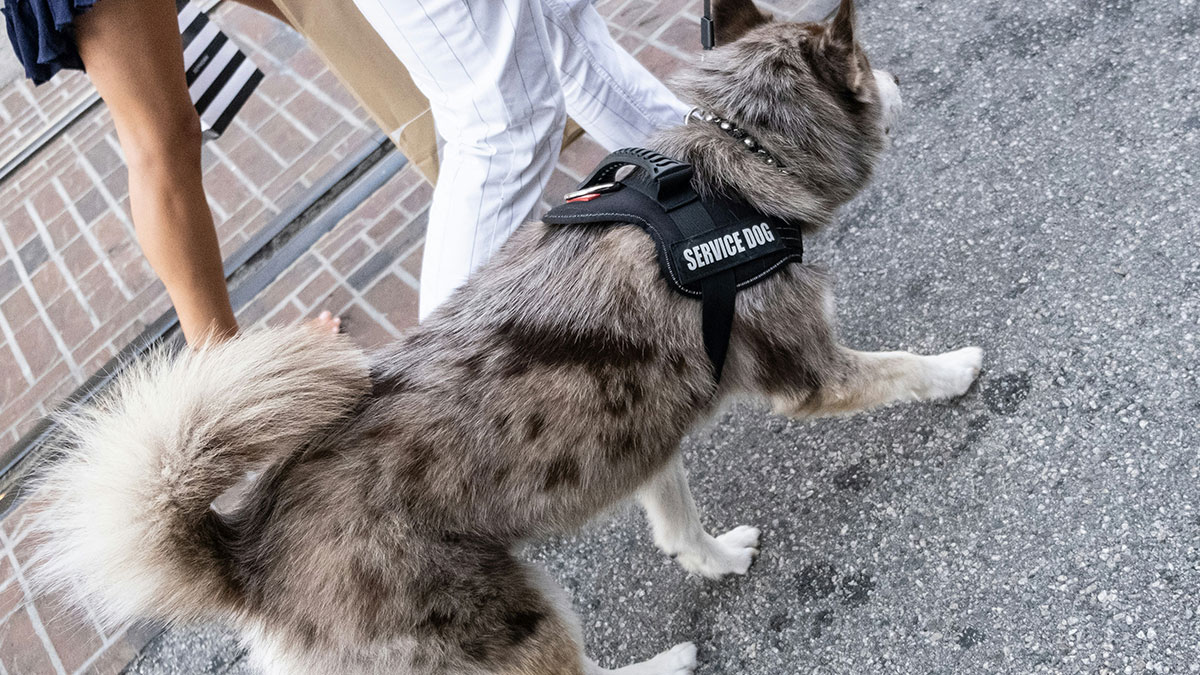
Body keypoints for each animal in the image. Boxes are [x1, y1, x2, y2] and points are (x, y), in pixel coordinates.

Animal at [33, 1, 981, 672]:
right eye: (868, 65)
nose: (898, 78)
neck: (726, 172)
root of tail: (248, 551)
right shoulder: (812, 372)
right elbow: (905, 370)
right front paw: (960, 369)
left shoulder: (642, 428)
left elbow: (675, 517)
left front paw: (710, 557)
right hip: (511, 618)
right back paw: (660, 665)